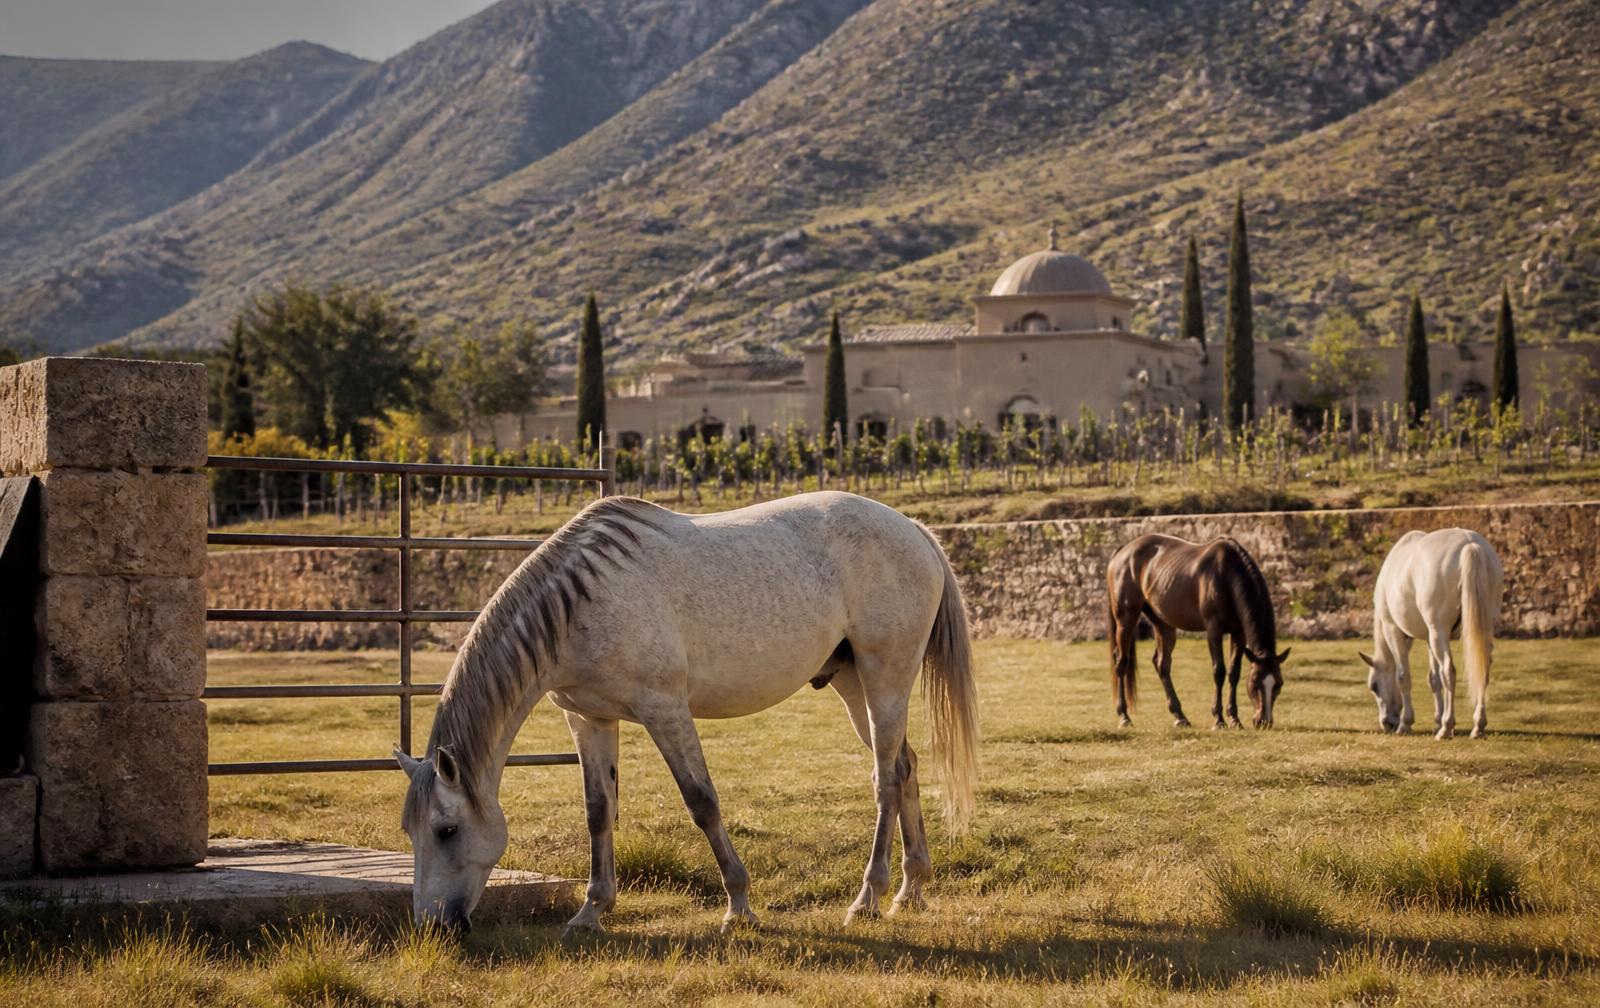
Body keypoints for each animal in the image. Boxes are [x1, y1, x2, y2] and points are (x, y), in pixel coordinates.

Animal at [394, 490, 980, 934]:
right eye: (410, 832)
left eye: (446, 830)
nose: (432, 926)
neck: (580, 601)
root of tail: (914, 530)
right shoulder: (589, 720)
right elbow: (598, 811)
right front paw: (591, 912)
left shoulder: (665, 709)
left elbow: (702, 802)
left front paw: (739, 907)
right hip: (854, 684)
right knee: (902, 766)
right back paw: (911, 889)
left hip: (885, 679)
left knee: (886, 779)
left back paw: (868, 897)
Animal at [1105, 533, 1289, 730]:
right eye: (1254, 684)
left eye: (1279, 684)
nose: (1264, 721)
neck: (1226, 575)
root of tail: (1122, 551)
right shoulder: (1213, 630)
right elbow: (1219, 671)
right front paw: (1218, 719)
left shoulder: (1239, 633)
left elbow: (1234, 673)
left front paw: (1234, 718)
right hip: (1126, 618)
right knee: (1121, 662)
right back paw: (1124, 716)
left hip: (1163, 623)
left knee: (1162, 664)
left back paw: (1180, 716)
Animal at [1360, 528, 1503, 739]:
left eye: (1374, 686)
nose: (1387, 724)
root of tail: (1469, 544)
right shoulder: (1429, 639)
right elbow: (1434, 679)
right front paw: (1436, 720)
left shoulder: (1393, 631)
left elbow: (1403, 677)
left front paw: (1406, 723)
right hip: (1468, 633)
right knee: (1481, 671)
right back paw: (1477, 726)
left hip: (1439, 632)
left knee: (1449, 671)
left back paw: (1447, 728)